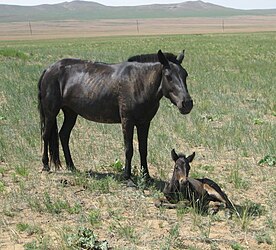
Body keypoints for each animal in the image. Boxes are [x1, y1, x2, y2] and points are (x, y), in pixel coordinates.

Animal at [38, 49, 194, 181]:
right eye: (168, 77)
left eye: (185, 74)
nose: (187, 103)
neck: (138, 82)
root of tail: (48, 69)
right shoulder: (127, 121)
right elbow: (129, 149)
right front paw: (127, 177)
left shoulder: (144, 122)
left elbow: (143, 149)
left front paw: (147, 177)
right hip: (51, 113)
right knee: (46, 135)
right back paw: (45, 165)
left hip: (71, 113)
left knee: (64, 135)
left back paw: (72, 166)